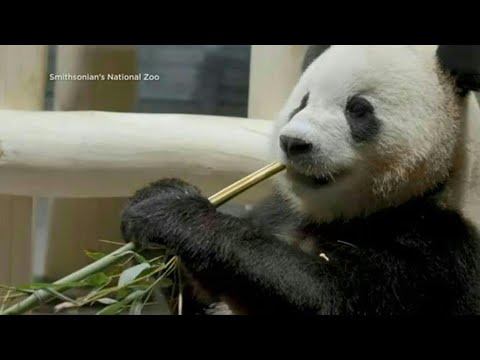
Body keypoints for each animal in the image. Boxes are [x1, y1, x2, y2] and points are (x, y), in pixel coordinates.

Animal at [122, 45, 480, 316]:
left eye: (358, 109)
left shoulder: (438, 254)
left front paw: (173, 213)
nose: (293, 143)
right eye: (302, 102)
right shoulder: (279, 212)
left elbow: (328, 297)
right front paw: (154, 214)